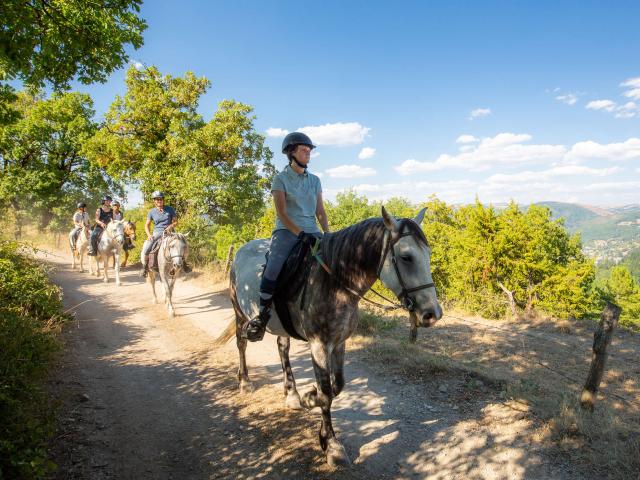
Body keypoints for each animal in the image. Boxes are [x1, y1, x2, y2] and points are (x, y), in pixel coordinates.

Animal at [218, 207, 442, 468]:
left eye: (427, 254)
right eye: (406, 257)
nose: (433, 314)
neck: (336, 284)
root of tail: (242, 250)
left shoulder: (339, 343)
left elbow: (337, 386)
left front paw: (308, 398)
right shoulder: (319, 345)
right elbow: (326, 393)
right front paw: (332, 444)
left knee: (282, 347)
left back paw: (292, 394)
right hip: (239, 312)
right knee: (241, 344)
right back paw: (244, 382)